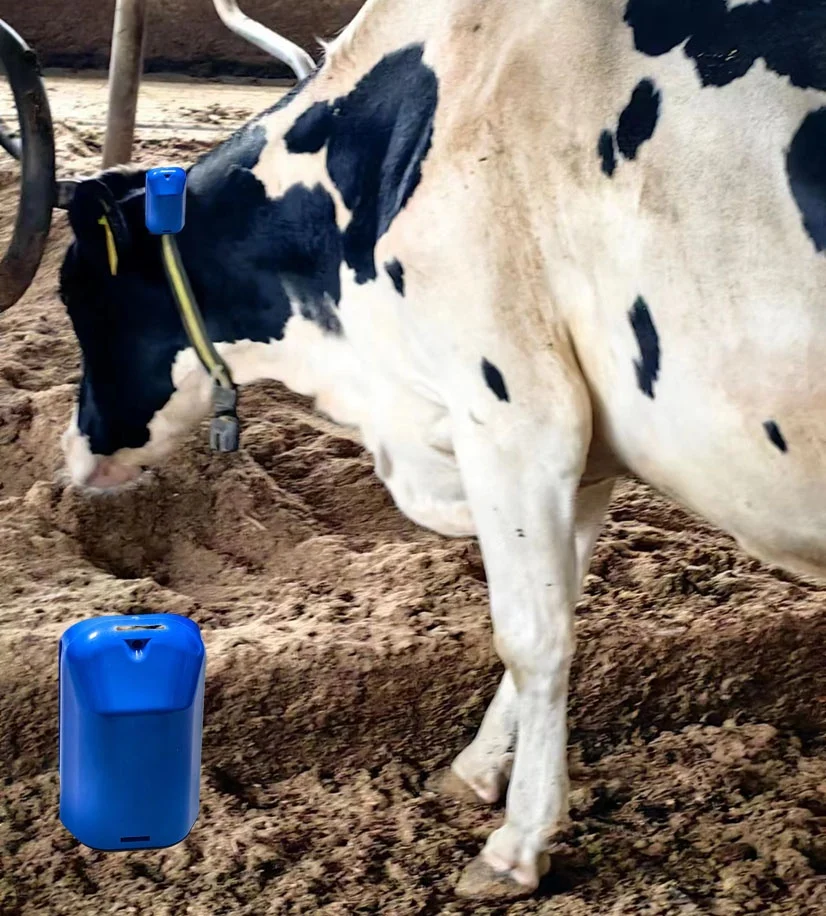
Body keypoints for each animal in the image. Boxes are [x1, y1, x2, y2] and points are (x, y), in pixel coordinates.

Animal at [24, 0, 826, 900]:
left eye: (78, 292)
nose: (74, 455)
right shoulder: (579, 448)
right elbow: (557, 606)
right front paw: (475, 772)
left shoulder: (516, 410)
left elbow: (532, 635)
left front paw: (515, 847)